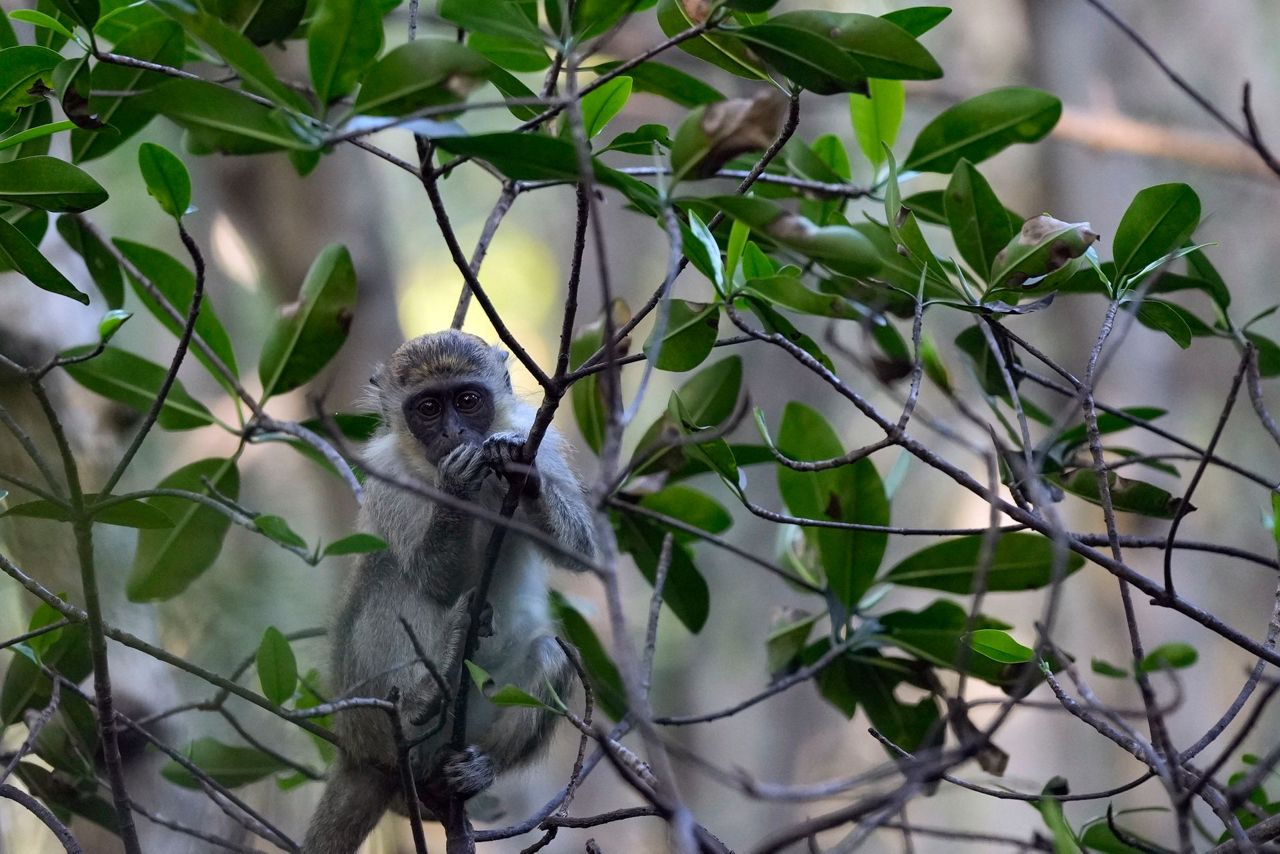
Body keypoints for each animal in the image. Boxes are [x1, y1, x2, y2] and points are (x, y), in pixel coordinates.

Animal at [301, 330, 597, 854]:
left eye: (466, 400)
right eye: (428, 408)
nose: (453, 434)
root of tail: (355, 753)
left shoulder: (537, 441)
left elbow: (580, 551)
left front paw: (521, 475)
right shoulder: (389, 477)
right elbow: (433, 579)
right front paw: (456, 483)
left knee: (552, 654)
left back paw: (471, 772)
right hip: (364, 714)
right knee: (389, 573)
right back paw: (422, 696)